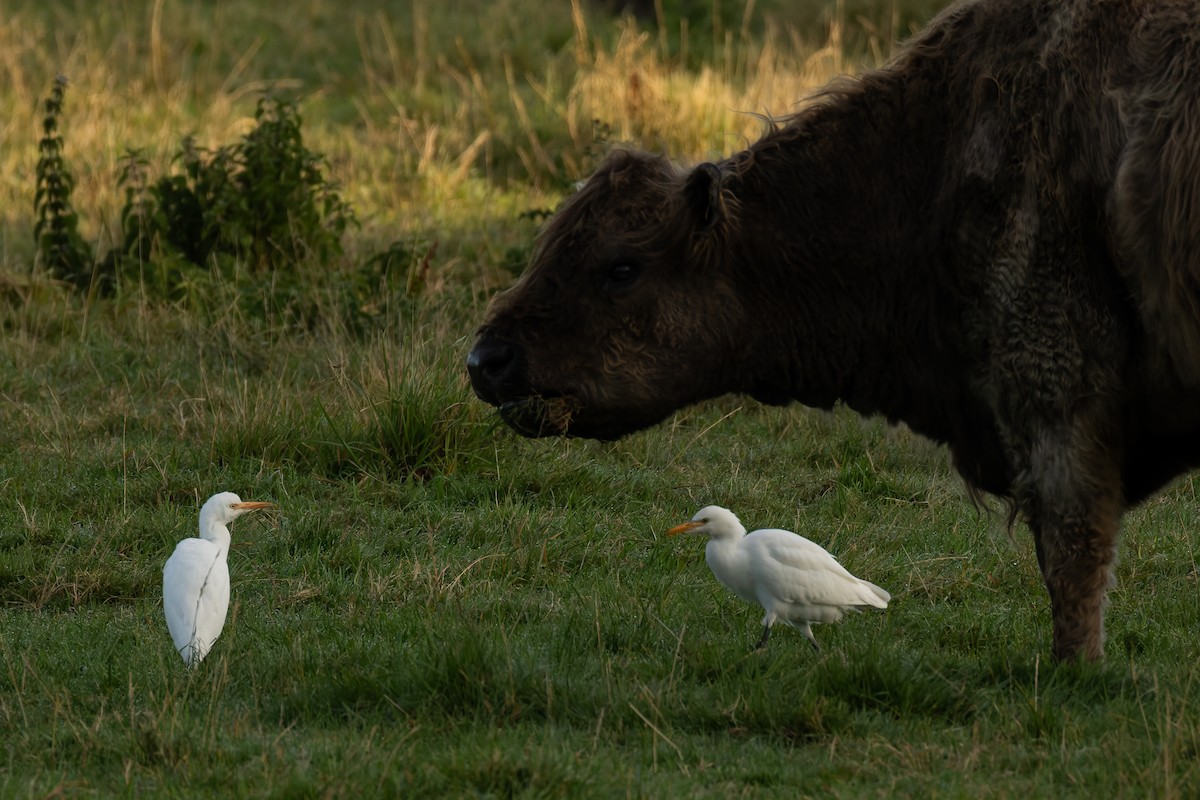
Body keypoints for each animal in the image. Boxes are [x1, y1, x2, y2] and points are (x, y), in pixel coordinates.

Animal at [466, 0, 1200, 662]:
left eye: (621, 266)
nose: (486, 359)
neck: (936, 161)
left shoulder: (1056, 400)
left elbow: (1071, 558)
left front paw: (1077, 672)